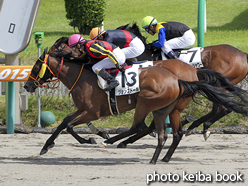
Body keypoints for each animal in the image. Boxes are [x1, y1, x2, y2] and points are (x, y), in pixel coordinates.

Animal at [24, 48, 248, 164]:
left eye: (35, 66)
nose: (27, 85)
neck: (82, 77)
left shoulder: (92, 112)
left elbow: (68, 125)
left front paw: (91, 138)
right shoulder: (83, 110)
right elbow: (65, 123)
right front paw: (49, 145)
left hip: (147, 103)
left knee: (140, 126)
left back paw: (115, 141)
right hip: (166, 107)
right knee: (166, 130)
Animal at [118, 22, 248, 140]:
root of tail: (242, 53)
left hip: (217, 84)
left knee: (222, 108)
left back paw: (203, 127)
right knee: (222, 108)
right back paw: (194, 126)